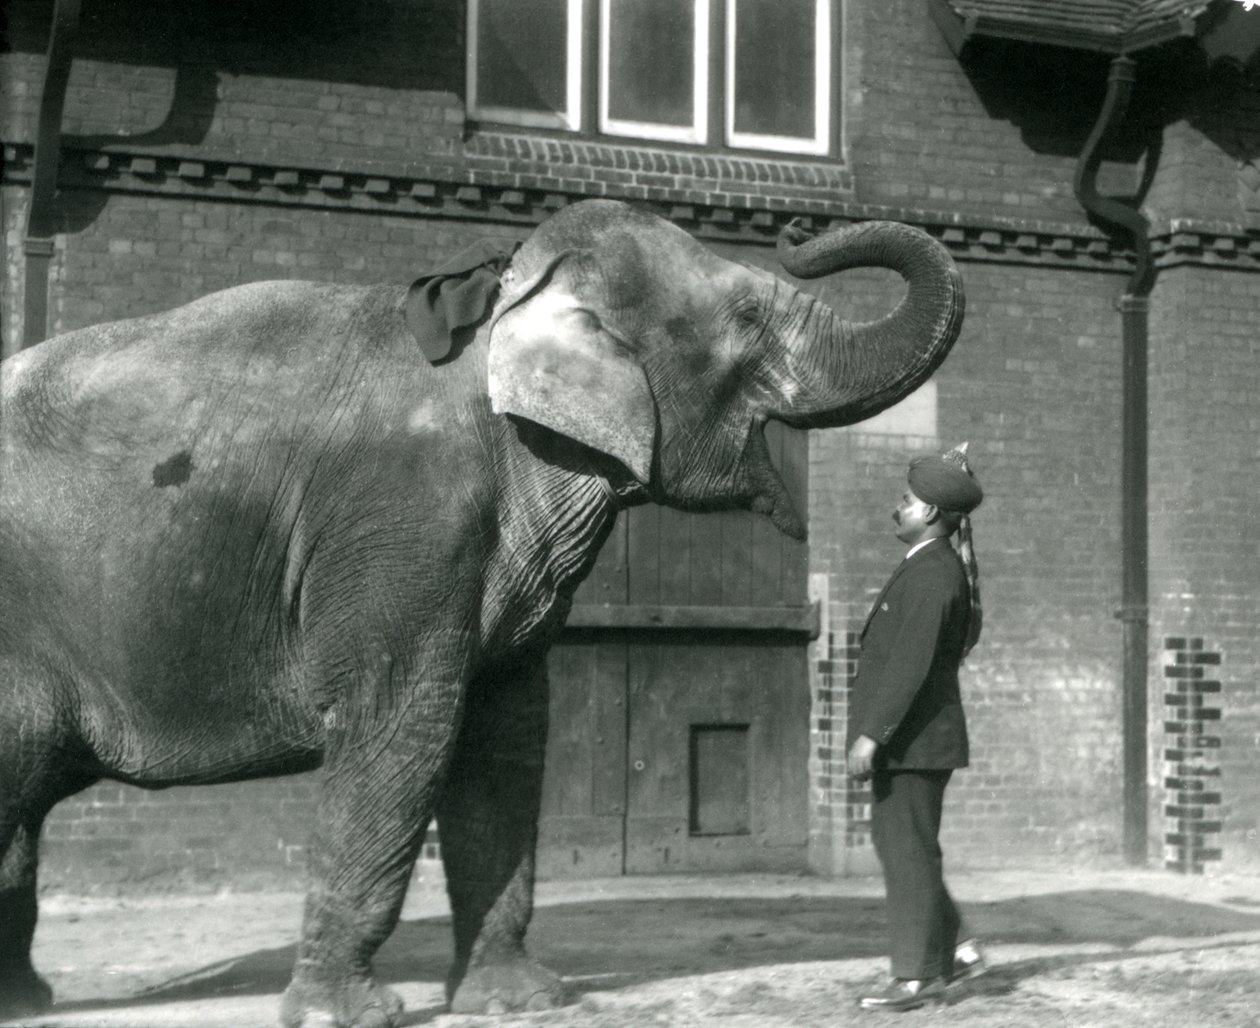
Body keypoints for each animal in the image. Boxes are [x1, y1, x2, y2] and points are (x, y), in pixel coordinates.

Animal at [0, 198, 963, 1027]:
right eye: (748, 321)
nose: (799, 228)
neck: (506, 303)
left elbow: (508, 735)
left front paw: (522, 1001)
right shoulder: (404, 521)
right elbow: (401, 725)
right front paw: (349, 1016)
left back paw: (28, 1002)